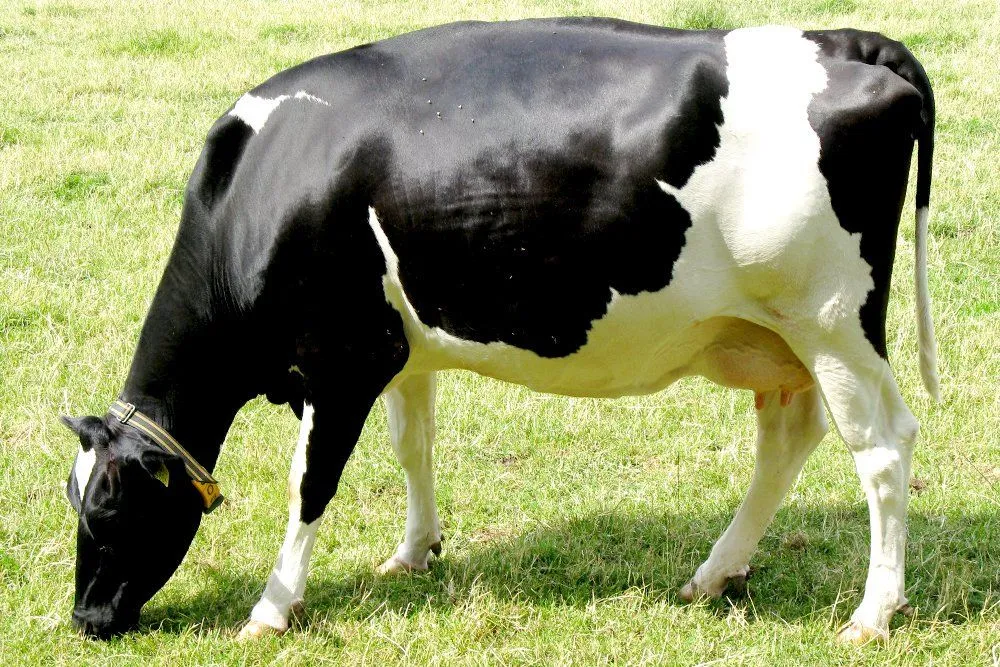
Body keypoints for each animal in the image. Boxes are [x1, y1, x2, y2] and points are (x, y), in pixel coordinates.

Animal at [62, 18, 937, 644]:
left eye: (108, 512)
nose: (86, 619)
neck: (267, 184)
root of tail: (841, 39)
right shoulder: (401, 351)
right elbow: (412, 447)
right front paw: (414, 550)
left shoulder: (342, 360)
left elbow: (310, 484)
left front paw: (272, 607)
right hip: (779, 337)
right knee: (788, 439)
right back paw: (716, 573)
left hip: (834, 322)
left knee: (884, 450)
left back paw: (872, 613)